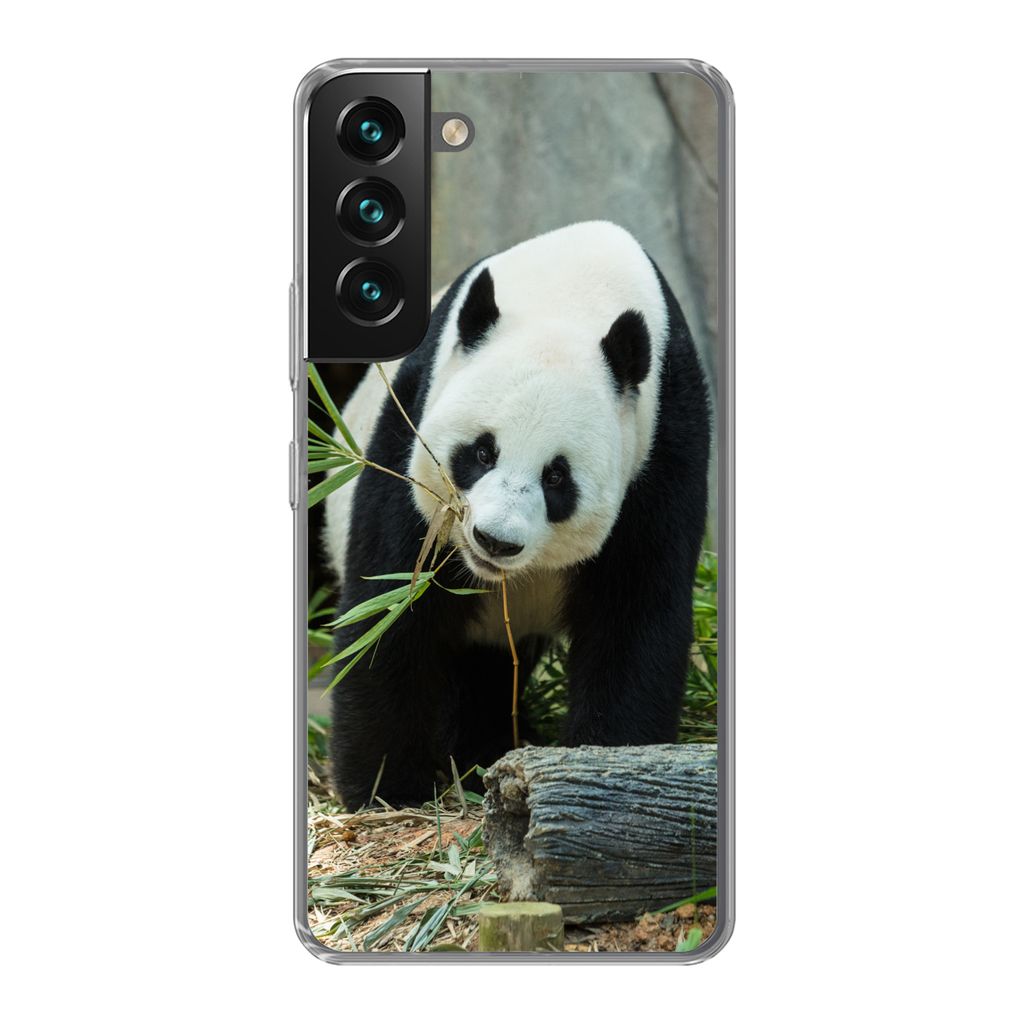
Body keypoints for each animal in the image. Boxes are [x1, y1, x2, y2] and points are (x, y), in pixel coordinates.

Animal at [323, 221, 710, 810]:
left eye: (557, 477)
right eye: (482, 452)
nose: (494, 541)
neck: (572, 291)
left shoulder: (663, 446)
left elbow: (635, 615)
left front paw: (605, 764)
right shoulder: (411, 424)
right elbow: (391, 606)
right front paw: (388, 788)